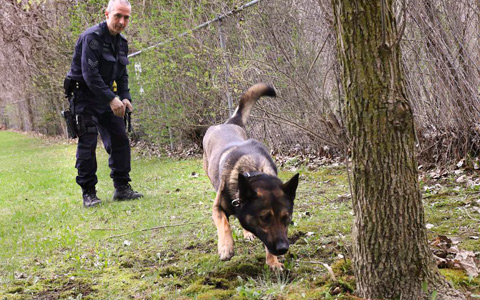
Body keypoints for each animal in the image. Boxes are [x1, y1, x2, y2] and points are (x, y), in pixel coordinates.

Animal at [202, 82, 300, 270]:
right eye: (264, 218)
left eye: (286, 218)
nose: (283, 249)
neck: (253, 169)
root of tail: (226, 123)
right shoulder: (217, 208)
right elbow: (224, 223)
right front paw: (225, 247)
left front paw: (273, 262)